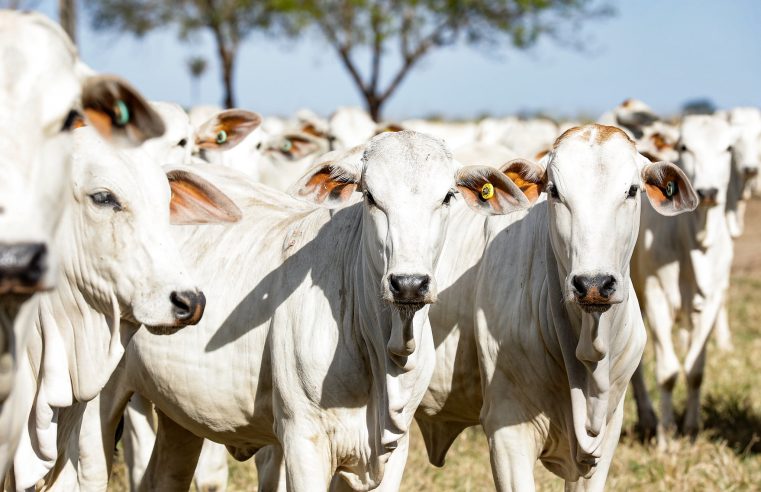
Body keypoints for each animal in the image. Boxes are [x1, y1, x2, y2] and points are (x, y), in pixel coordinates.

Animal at [83, 132, 528, 492]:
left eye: (448, 197)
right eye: (370, 197)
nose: (408, 284)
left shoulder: (393, 450)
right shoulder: (303, 441)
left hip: (179, 414)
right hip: (96, 408)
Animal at [628, 115, 736, 442]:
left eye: (729, 147)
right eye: (685, 146)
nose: (709, 191)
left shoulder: (712, 299)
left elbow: (695, 369)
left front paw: (691, 428)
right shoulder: (656, 296)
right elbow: (668, 371)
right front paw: (666, 435)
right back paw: (648, 418)